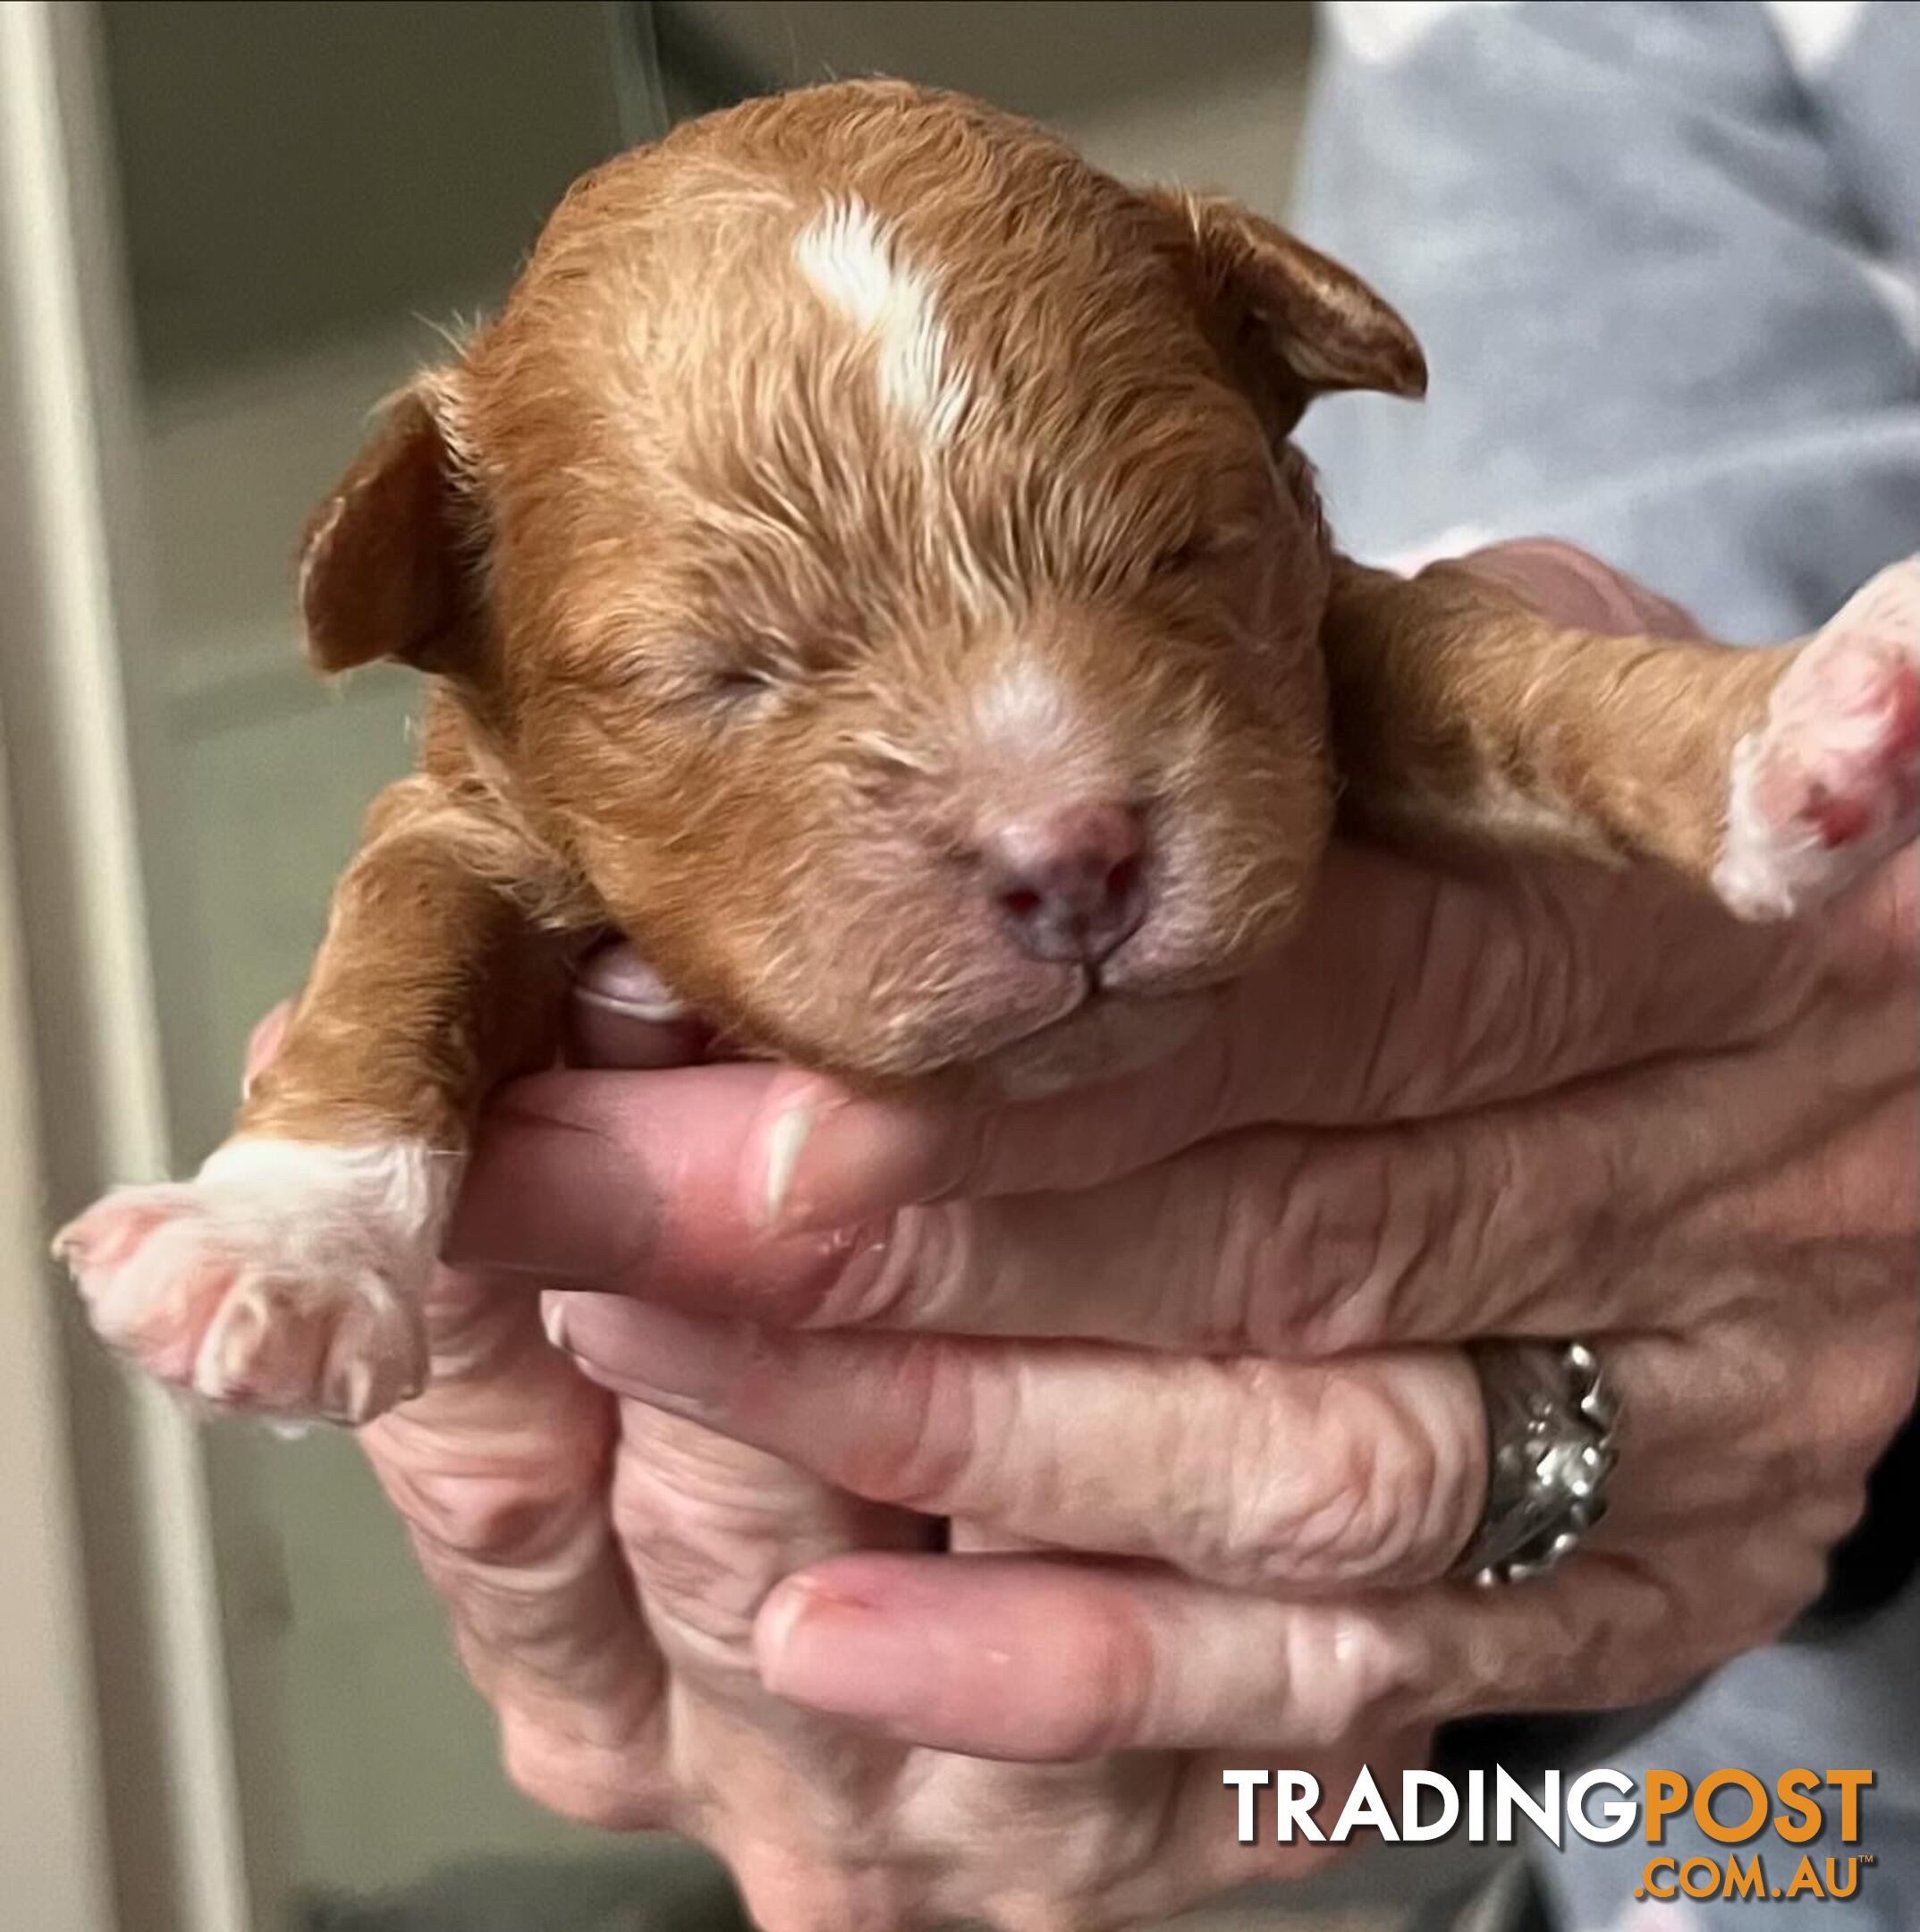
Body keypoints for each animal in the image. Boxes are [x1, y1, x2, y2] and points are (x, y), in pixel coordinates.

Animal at [55, 82, 1916, 1421]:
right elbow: (407, 945)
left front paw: (1791, 721)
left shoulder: (1324, 656)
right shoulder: (469, 818)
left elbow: (1491, 664)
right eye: (714, 674)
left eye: (1183, 549)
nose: (1069, 857)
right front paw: (274, 1245)